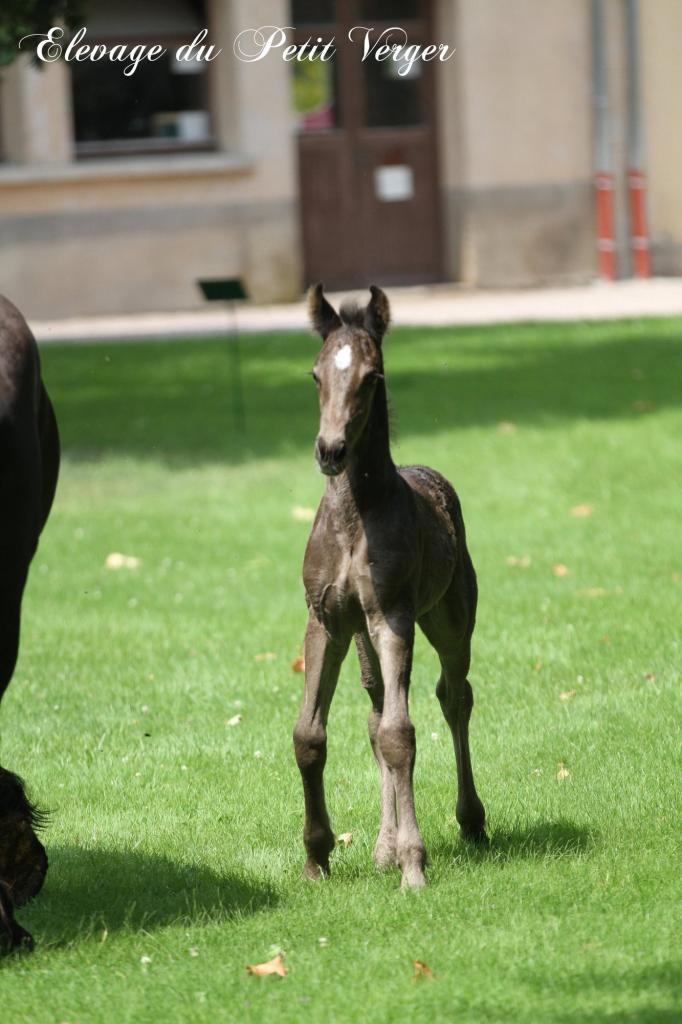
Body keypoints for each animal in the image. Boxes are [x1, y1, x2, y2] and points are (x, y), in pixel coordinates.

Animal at [292, 286, 483, 888]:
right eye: (315, 374)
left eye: (371, 376)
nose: (329, 450)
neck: (356, 517)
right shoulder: (326, 620)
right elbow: (311, 735)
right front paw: (317, 858)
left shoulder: (392, 617)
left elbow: (403, 734)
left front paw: (414, 866)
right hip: (362, 642)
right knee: (376, 714)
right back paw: (382, 846)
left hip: (449, 622)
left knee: (455, 697)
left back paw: (470, 822)